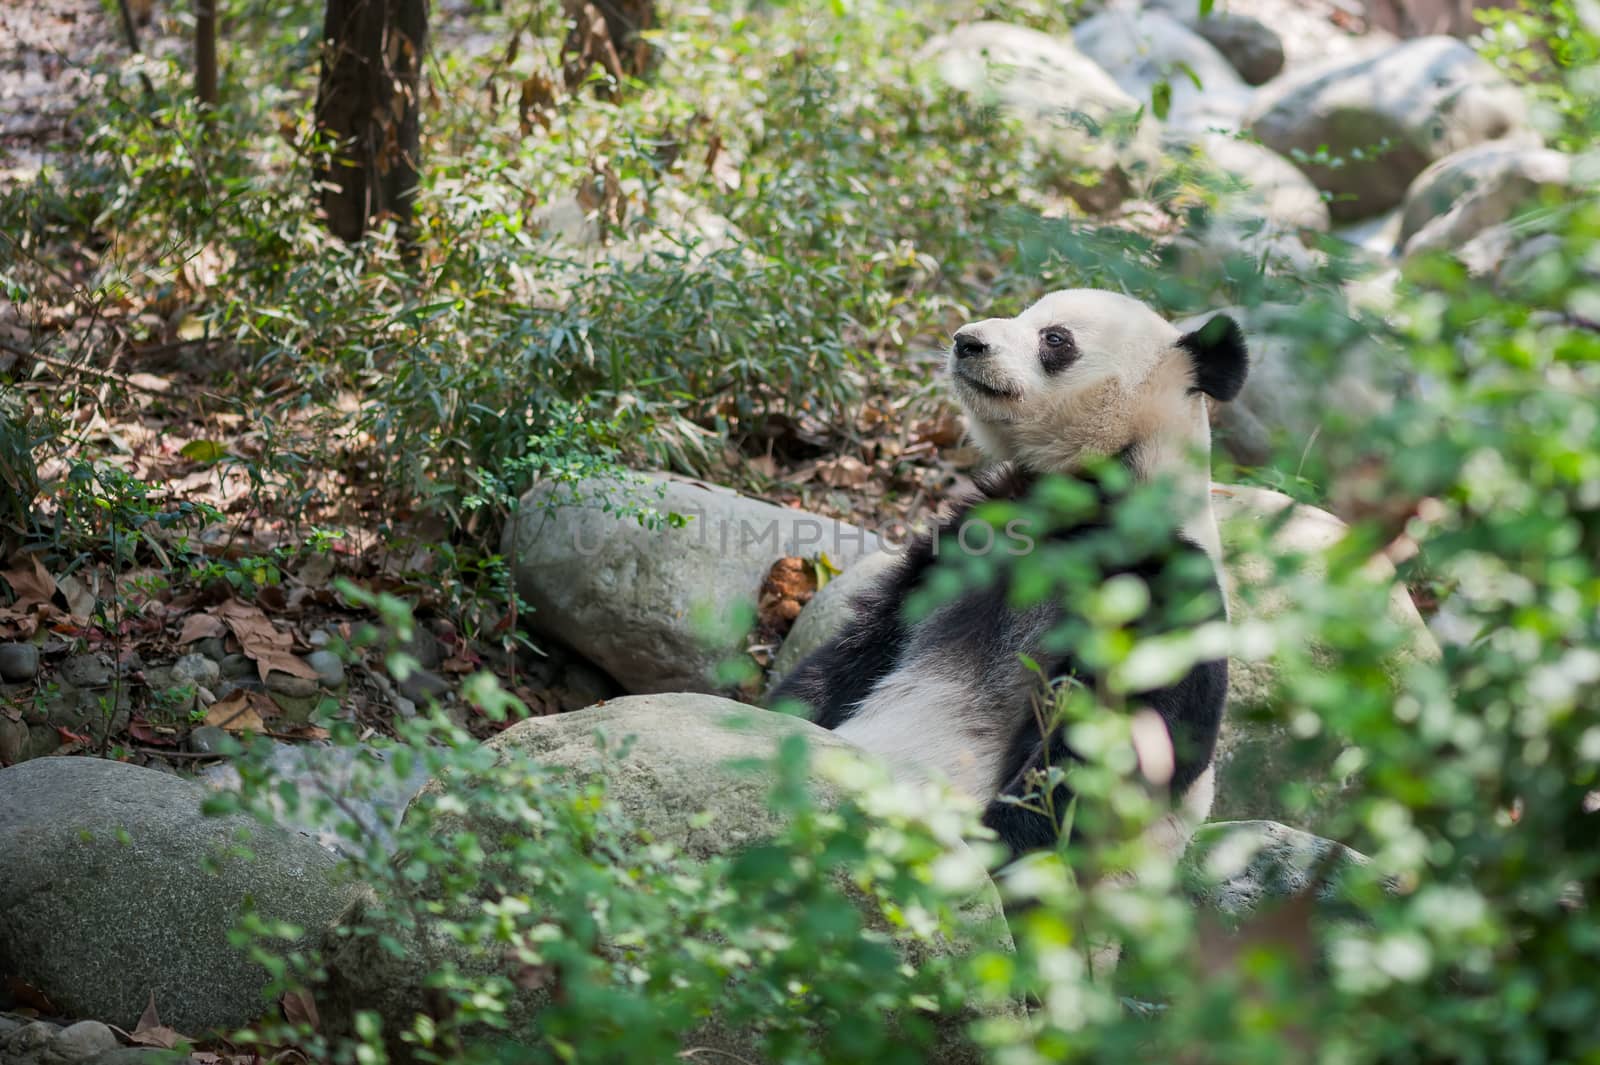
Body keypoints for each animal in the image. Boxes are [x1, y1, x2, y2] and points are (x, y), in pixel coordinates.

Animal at [768, 286, 1241, 857]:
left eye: (1054, 338)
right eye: (1024, 312)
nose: (966, 341)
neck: (1086, 490)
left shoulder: (1160, 584)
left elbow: (1115, 751)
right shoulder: (971, 538)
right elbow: (862, 646)